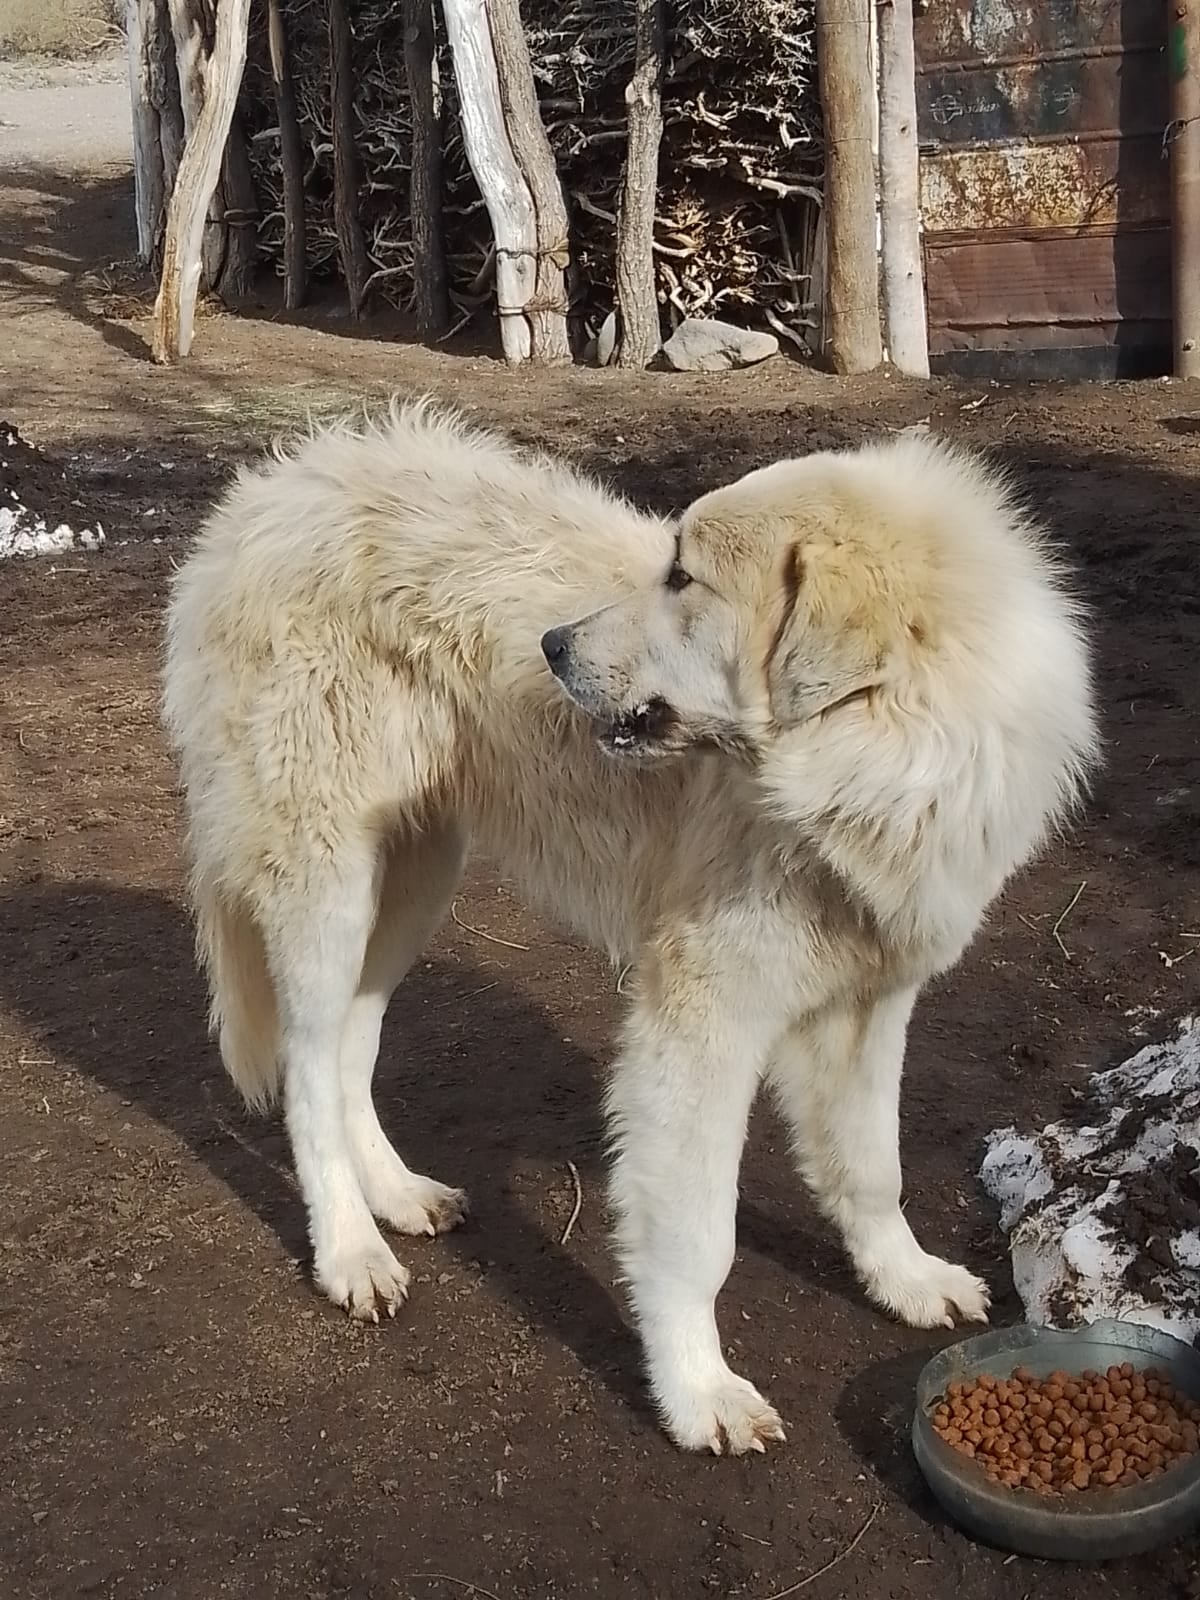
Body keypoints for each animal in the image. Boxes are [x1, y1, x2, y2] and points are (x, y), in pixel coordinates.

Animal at [164, 406, 1107, 1459]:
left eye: (683, 579)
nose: (551, 643)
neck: (883, 767)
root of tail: (270, 491)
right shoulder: (701, 1021)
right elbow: (699, 1235)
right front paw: (698, 1393)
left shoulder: (872, 1004)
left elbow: (873, 1170)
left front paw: (904, 1282)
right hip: (329, 889)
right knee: (306, 1067)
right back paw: (349, 1251)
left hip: (410, 881)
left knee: (347, 1053)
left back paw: (397, 1197)